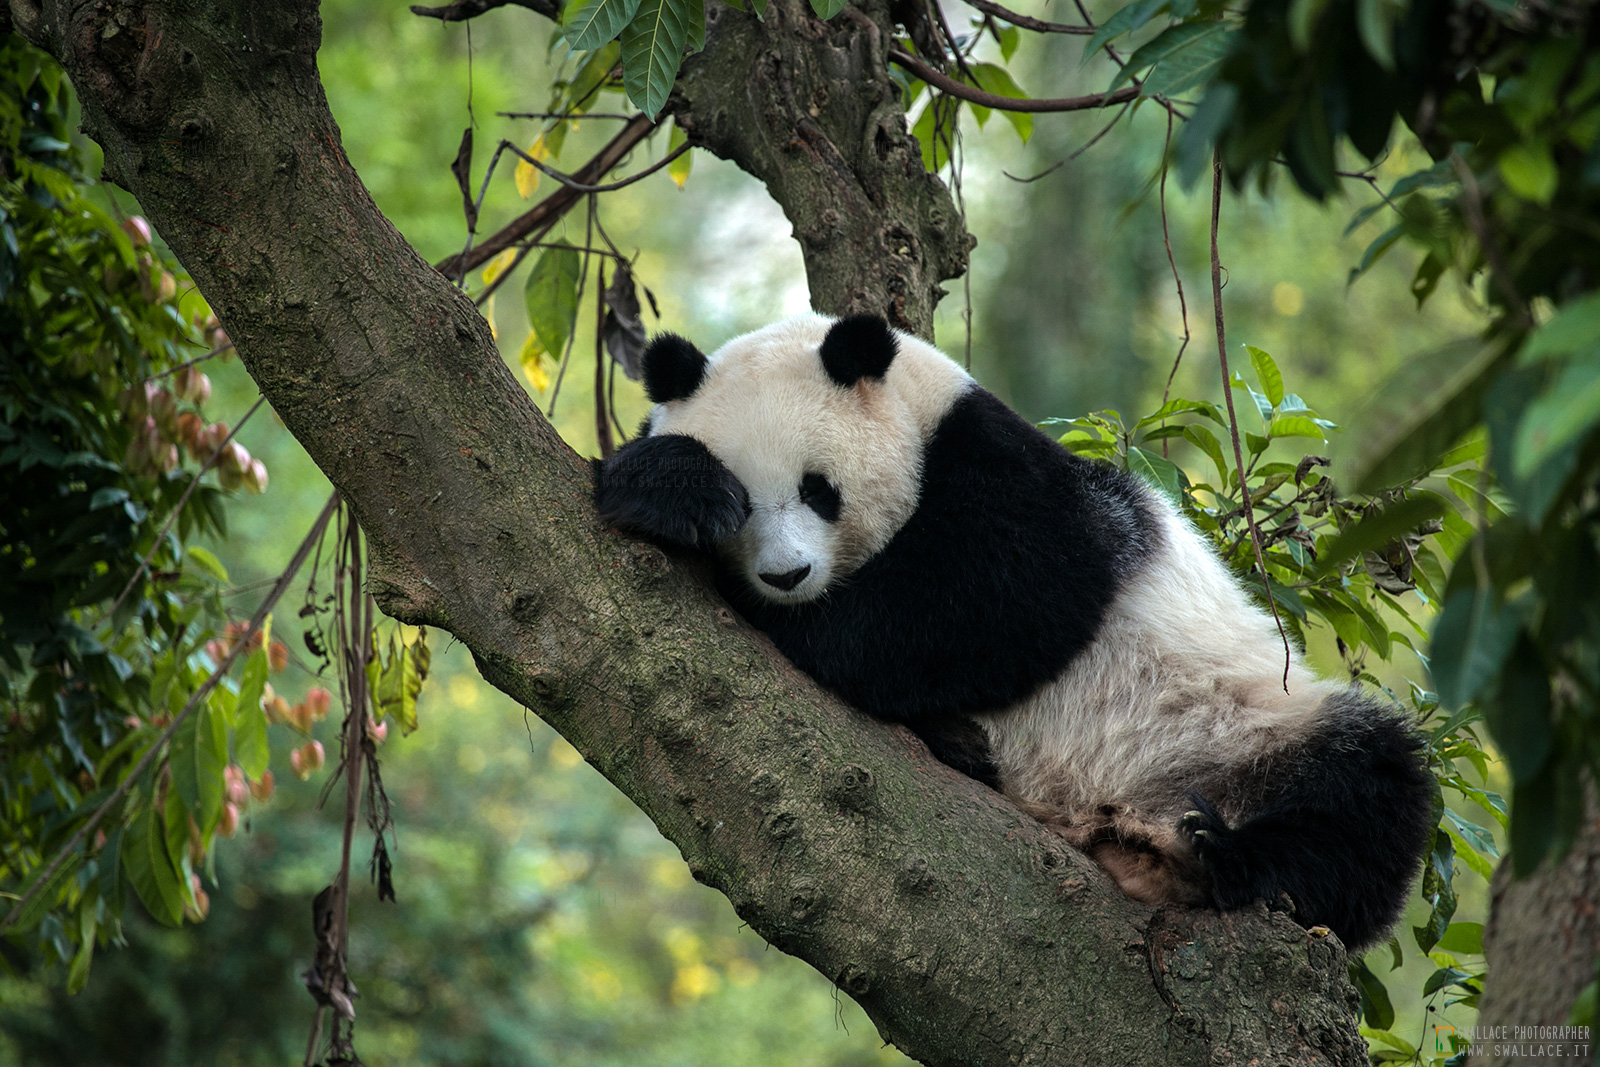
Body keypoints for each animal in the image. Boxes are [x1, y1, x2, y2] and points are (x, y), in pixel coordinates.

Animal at [594, 311, 1436, 951]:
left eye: (818, 489)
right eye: (743, 501)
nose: (787, 576)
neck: (920, 409)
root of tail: (1115, 822)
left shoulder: (1004, 468)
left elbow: (1006, 592)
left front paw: (792, 622)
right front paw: (672, 489)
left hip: (1244, 726)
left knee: (1371, 792)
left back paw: (1226, 857)